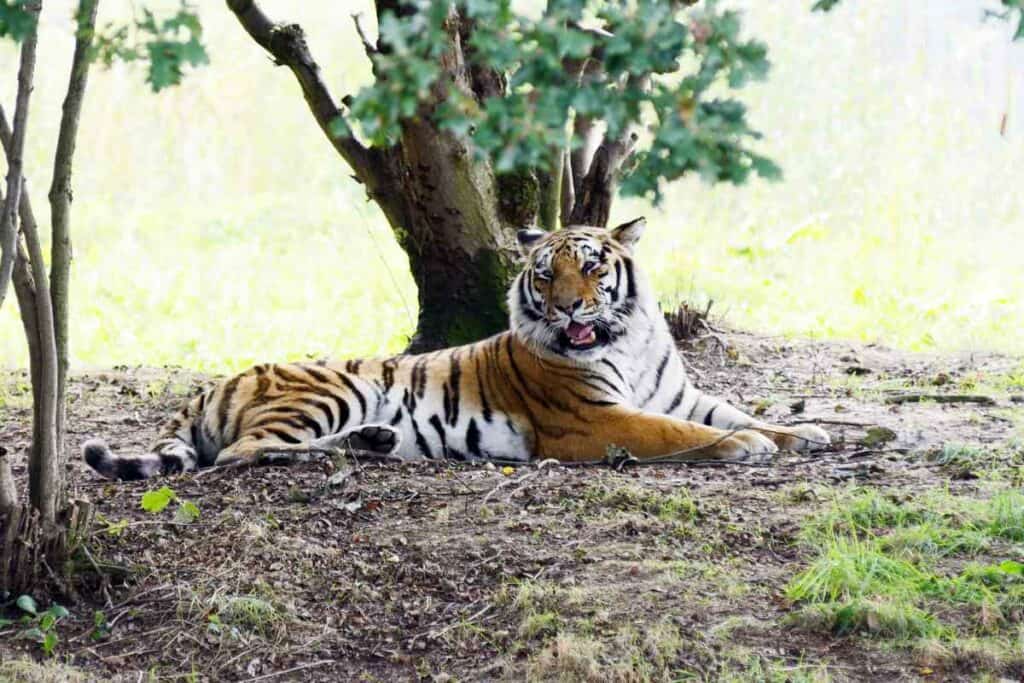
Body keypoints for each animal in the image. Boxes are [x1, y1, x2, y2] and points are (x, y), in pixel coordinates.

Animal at [83, 218, 827, 481]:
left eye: (592, 267)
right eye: (545, 273)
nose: (568, 306)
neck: (630, 337)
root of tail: (210, 386)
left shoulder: (680, 392)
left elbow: (736, 412)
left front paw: (808, 433)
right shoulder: (592, 420)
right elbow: (680, 433)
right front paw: (747, 448)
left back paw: (377, 442)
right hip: (332, 390)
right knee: (243, 452)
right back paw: (352, 450)